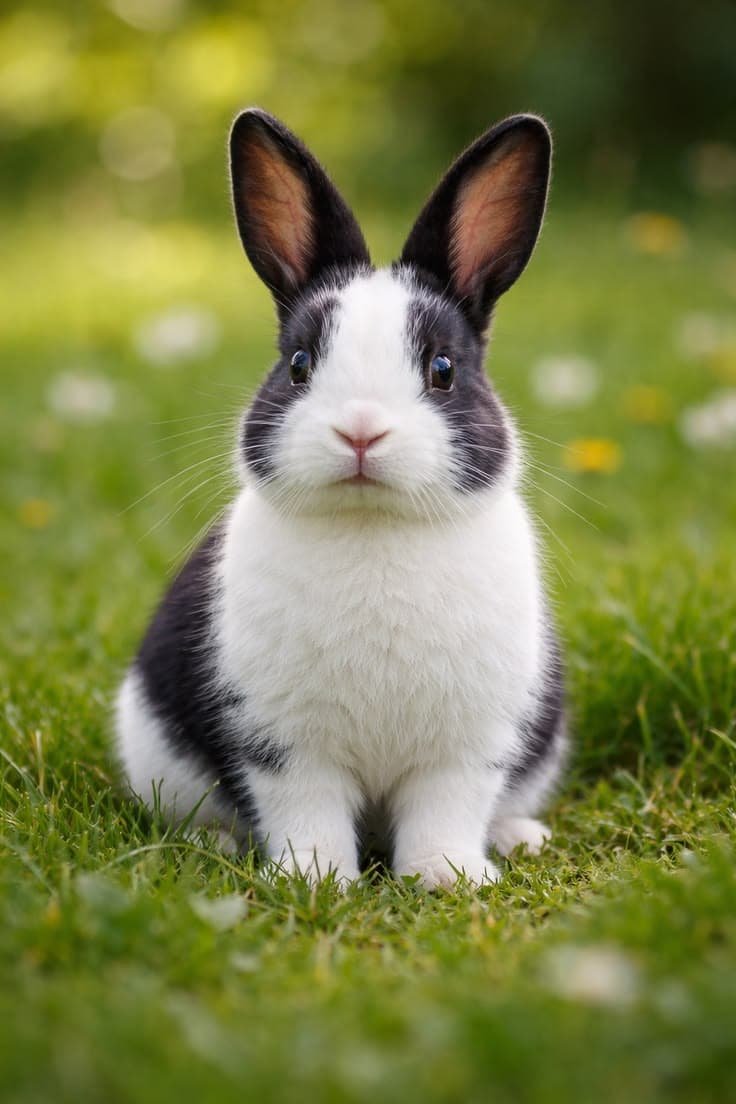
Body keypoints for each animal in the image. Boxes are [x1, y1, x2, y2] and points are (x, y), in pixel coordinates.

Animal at [115, 108, 568, 889]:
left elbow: (447, 808)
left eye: (443, 369)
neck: (372, 525)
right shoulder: (282, 743)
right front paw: (314, 880)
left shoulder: (469, 746)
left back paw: (519, 839)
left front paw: (447, 877)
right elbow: (307, 810)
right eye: (298, 365)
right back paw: (215, 844)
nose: (360, 430)